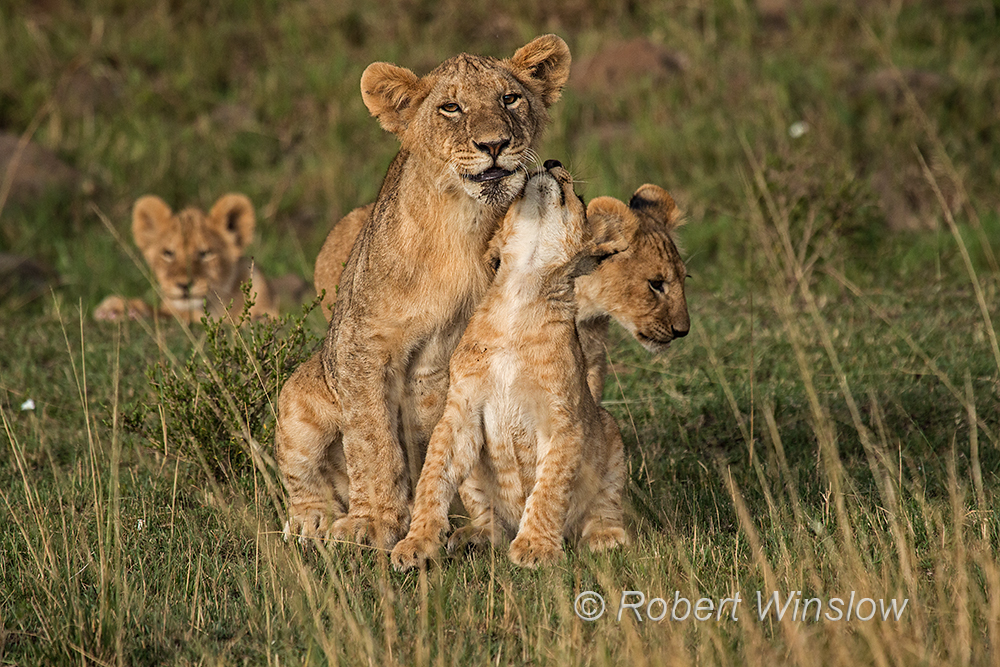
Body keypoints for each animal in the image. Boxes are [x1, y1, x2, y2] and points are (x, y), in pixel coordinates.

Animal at [277, 180, 690, 545]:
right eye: (656, 283)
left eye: (684, 279)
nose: (682, 330)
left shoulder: (584, 378)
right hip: (307, 403)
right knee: (306, 472)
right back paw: (314, 521)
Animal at [290, 35, 573, 550]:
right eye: (451, 107)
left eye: (509, 98)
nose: (494, 144)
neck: (461, 226)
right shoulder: (360, 345)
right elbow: (372, 437)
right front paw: (374, 522)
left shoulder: (452, 359)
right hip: (302, 396)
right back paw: (312, 519)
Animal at [390, 162, 628, 570]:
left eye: (579, 198)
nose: (552, 163)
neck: (520, 291)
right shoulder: (460, 412)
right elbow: (432, 478)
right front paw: (416, 543)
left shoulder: (564, 421)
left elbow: (549, 488)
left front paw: (535, 547)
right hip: (476, 479)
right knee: (490, 520)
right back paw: (472, 538)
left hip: (610, 432)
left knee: (603, 507)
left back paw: (604, 537)